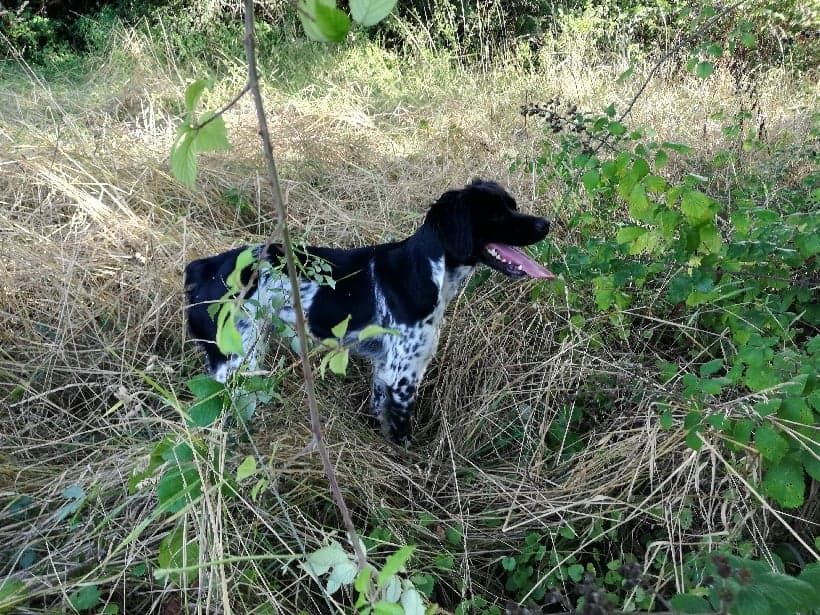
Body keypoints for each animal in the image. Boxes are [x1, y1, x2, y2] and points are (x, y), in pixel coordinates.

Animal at [187, 180, 552, 446]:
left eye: (512, 204)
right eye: (495, 213)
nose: (545, 223)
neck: (426, 269)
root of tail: (203, 267)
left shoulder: (384, 369)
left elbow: (380, 415)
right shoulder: (404, 375)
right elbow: (403, 435)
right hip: (236, 363)